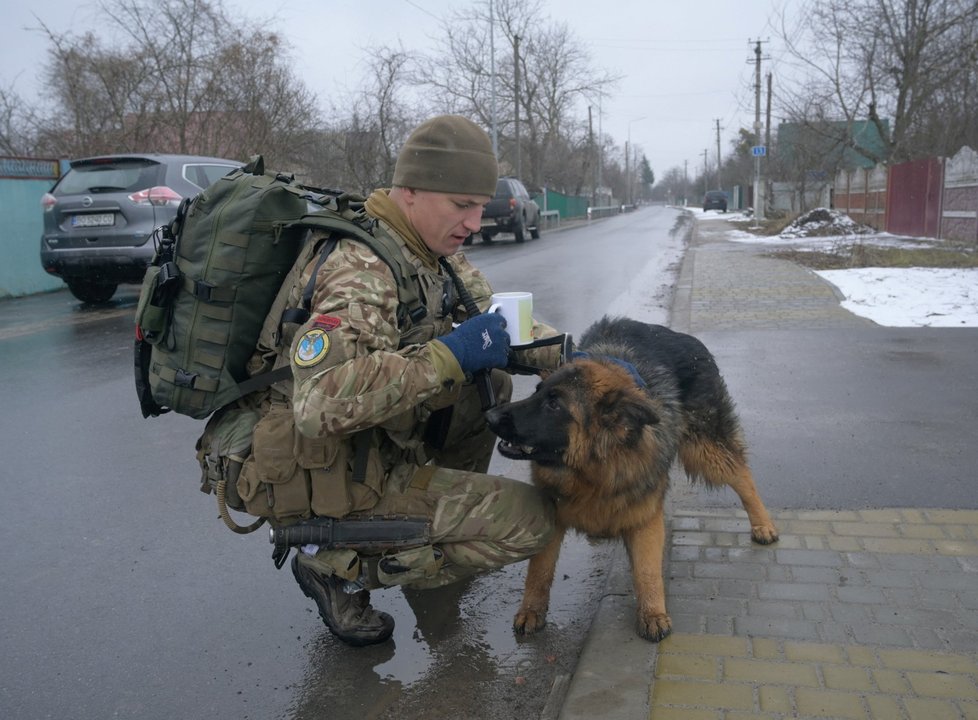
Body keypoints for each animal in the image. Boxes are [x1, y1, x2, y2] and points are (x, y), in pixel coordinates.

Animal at [486, 316, 776, 640]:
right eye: (537, 390)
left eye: (554, 404)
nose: (490, 416)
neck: (593, 472)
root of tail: (681, 336)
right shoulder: (552, 517)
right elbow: (539, 571)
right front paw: (531, 610)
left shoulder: (645, 516)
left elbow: (648, 571)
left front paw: (653, 613)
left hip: (706, 449)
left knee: (742, 476)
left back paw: (763, 524)